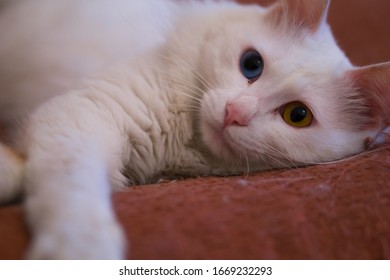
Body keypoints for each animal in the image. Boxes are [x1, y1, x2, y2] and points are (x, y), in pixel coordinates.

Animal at [0, 0, 388, 258]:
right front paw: (79, 246)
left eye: (298, 115)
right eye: (252, 64)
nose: (234, 112)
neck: (181, 145)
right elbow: (73, 183)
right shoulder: (82, 112)